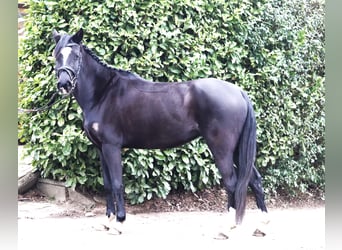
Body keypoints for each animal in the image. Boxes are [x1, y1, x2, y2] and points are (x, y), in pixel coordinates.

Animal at [52, 28, 268, 227]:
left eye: (76, 56)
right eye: (56, 55)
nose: (64, 84)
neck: (103, 93)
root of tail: (238, 91)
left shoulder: (111, 146)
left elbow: (117, 183)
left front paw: (120, 220)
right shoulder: (100, 148)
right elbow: (106, 184)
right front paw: (109, 218)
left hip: (222, 149)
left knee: (232, 182)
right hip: (237, 149)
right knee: (254, 180)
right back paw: (261, 219)